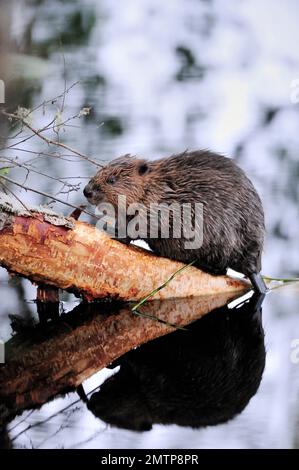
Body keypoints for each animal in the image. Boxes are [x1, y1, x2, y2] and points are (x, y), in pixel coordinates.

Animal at [83, 150, 268, 294]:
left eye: (112, 180)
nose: (87, 191)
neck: (156, 187)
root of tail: (255, 268)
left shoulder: (161, 207)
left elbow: (145, 226)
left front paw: (114, 232)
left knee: (221, 267)